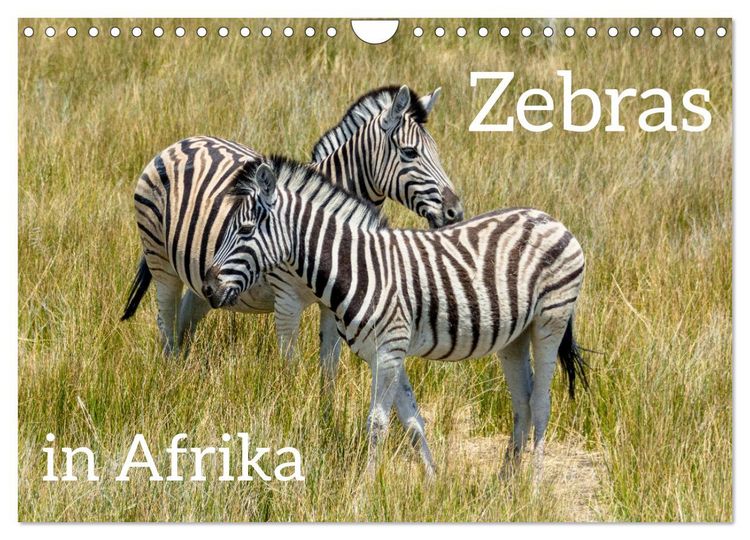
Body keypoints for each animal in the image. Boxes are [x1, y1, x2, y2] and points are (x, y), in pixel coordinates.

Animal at [121, 85, 463, 380]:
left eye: (436, 151)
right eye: (410, 152)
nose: (455, 212)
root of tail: (178, 144)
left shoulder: (333, 304)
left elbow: (330, 368)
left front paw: (326, 413)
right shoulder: (286, 301)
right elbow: (290, 369)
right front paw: (289, 409)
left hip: (201, 278)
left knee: (184, 323)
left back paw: (182, 377)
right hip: (161, 261)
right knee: (166, 323)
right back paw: (169, 379)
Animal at [202, 157, 588, 478]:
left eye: (246, 230)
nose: (207, 288)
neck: (357, 267)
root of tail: (551, 219)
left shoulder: (388, 350)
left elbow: (378, 423)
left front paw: (365, 487)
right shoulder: (385, 353)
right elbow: (412, 420)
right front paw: (433, 482)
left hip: (550, 319)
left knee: (540, 402)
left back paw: (533, 485)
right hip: (514, 336)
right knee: (522, 402)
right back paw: (506, 483)